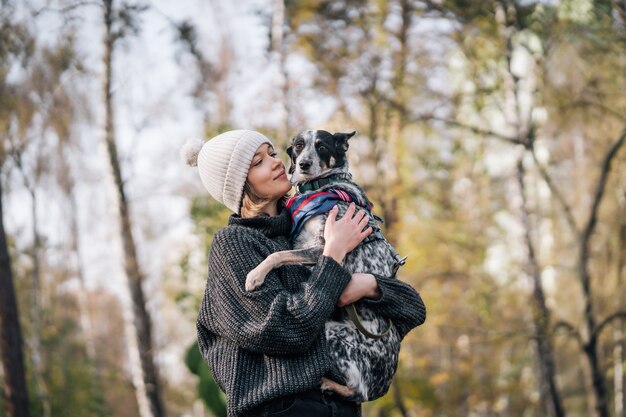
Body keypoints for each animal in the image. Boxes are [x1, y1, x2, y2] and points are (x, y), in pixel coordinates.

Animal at [244, 128, 404, 402]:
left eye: (322, 147)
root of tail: (383, 386)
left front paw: (255, 275)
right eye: (299, 146)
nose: (303, 164)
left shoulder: (323, 248)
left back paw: (329, 384)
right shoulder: (302, 242)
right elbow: (283, 251)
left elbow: (278, 254)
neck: (321, 187)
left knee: (357, 391)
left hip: (332, 333)